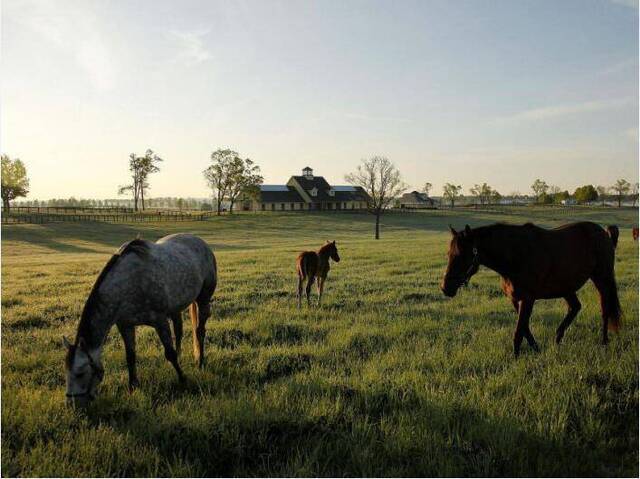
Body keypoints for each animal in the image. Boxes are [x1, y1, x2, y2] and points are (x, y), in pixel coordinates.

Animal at [64, 234, 218, 406]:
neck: (128, 284)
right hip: (176, 308)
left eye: (80, 373)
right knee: (179, 330)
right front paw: (132, 387)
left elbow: (169, 353)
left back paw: (200, 362)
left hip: (203, 299)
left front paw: (183, 380)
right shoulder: (125, 325)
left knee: (199, 331)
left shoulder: (159, 321)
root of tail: (201, 242)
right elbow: (130, 357)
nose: (73, 405)